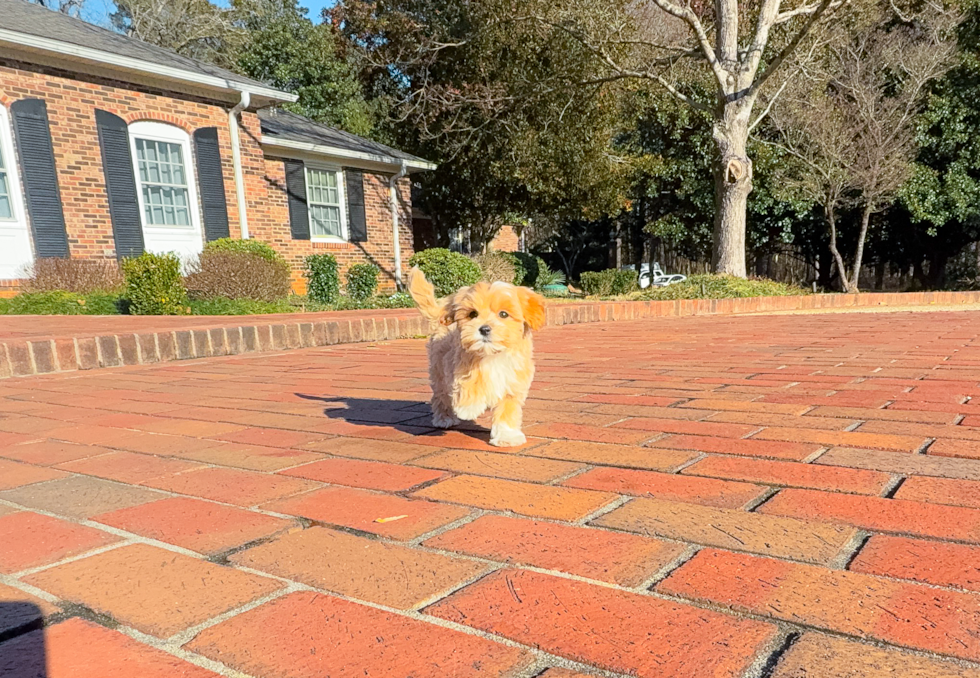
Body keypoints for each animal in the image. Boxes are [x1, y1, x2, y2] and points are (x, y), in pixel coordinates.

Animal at [406, 268, 544, 448]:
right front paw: (468, 407)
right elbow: (470, 380)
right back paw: (444, 418)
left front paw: (507, 436)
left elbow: (507, 412)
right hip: (439, 371)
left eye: (503, 314)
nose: (484, 329)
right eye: (473, 314)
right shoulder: (460, 365)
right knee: (440, 396)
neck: (493, 355)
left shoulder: (512, 384)